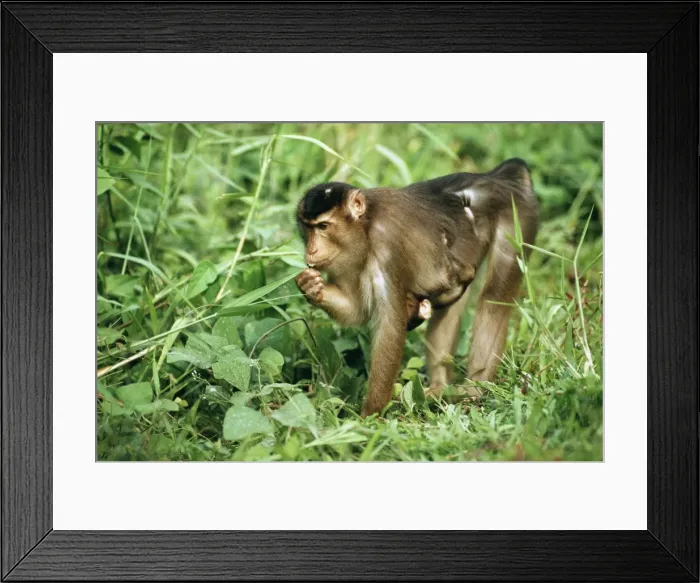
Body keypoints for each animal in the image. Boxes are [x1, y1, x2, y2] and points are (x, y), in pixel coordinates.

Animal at [295, 159, 538, 417]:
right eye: (307, 227)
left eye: (323, 226)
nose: (311, 249)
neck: (366, 226)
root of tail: (497, 176)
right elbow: (357, 309)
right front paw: (311, 287)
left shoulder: (387, 244)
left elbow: (390, 327)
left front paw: (369, 417)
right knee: (452, 305)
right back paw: (440, 386)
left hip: (517, 212)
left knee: (493, 300)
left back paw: (476, 389)